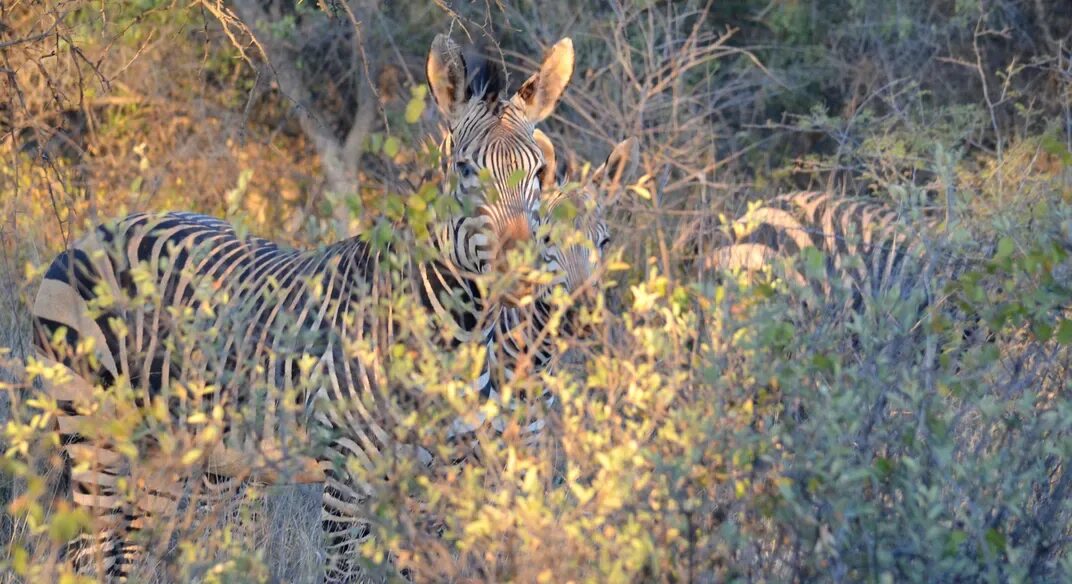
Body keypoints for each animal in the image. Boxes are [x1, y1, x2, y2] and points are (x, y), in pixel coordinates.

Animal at [29, 32, 578, 582]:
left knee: (128, 557)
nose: (522, 274)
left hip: (161, 452)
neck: (451, 335)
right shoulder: (347, 479)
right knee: (91, 554)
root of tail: (93, 232)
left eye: (538, 172)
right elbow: (344, 571)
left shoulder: (438, 479)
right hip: (91, 433)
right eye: (465, 170)